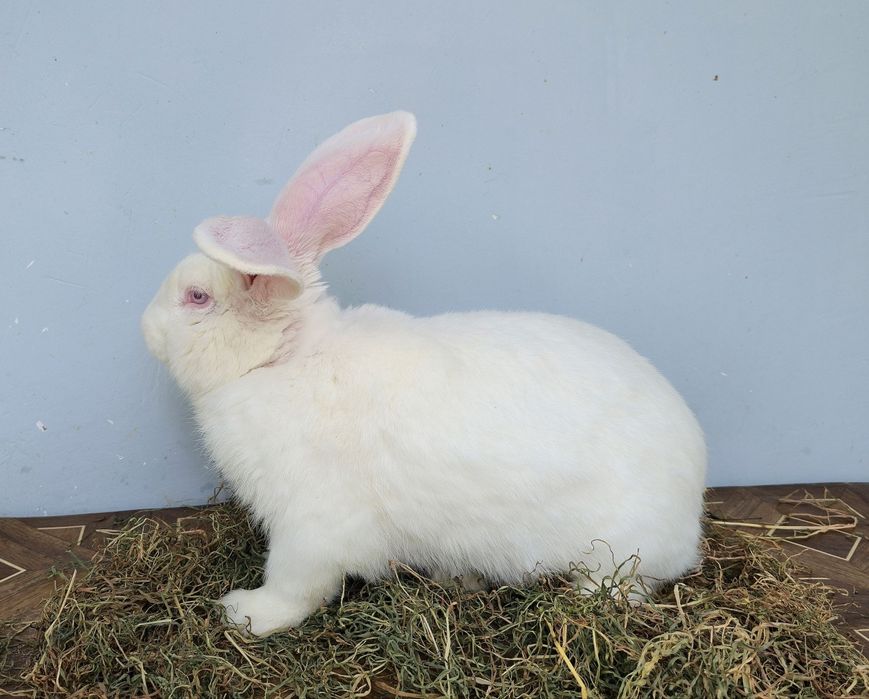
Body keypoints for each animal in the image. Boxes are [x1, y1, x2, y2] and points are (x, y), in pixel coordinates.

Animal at [142, 111, 707, 637]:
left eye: (196, 297)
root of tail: (692, 508)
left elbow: (294, 586)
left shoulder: (310, 525)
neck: (285, 358)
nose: (145, 327)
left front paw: (245, 613)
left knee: (621, 587)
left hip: (617, 552)